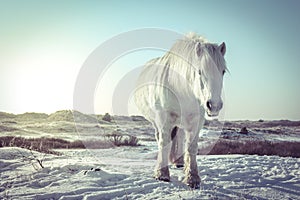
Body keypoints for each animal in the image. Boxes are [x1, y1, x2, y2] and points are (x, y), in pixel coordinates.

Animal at [135, 33, 226, 189]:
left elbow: (191, 147)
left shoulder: (196, 120)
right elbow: (164, 142)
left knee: (179, 136)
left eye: (223, 71)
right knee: (160, 138)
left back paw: (179, 162)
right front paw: (162, 174)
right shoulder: (164, 118)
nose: (214, 105)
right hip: (156, 121)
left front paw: (192, 178)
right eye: (199, 71)